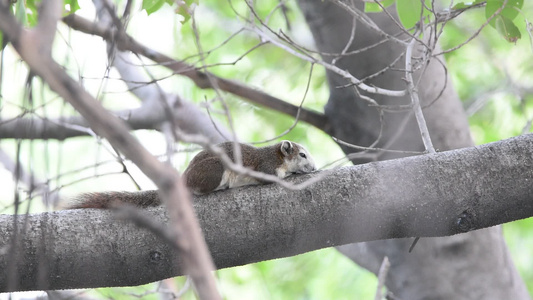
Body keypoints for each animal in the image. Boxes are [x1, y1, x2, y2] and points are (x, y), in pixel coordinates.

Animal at [68, 140, 314, 209]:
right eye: (302, 154)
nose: (313, 167)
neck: (278, 157)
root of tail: (184, 179)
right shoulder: (265, 166)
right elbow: (271, 177)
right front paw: (289, 176)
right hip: (214, 170)